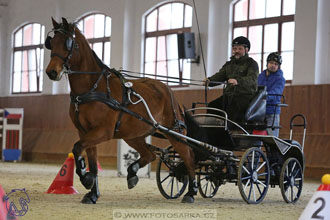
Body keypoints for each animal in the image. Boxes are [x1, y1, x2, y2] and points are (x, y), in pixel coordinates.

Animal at [45, 17, 197, 205]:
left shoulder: (104, 131)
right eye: (51, 43)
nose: (51, 72)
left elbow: (77, 147)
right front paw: (92, 193)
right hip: (133, 135)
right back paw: (132, 173)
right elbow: (92, 163)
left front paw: (86, 179)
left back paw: (191, 192)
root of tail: (170, 93)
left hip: (175, 133)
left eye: (67, 43)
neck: (92, 87)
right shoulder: (85, 132)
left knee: (188, 157)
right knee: (150, 155)